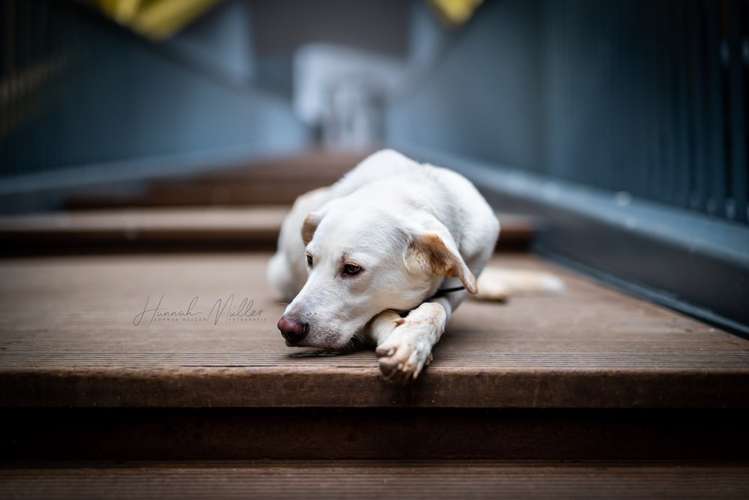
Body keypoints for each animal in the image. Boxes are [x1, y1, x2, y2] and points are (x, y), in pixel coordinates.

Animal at [268, 149, 560, 382]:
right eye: (310, 259)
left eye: (352, 268)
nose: (287, 328)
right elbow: (383, 315)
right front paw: (401, 337)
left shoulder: (462, 281)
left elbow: (435, 309)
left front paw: (414, 338)